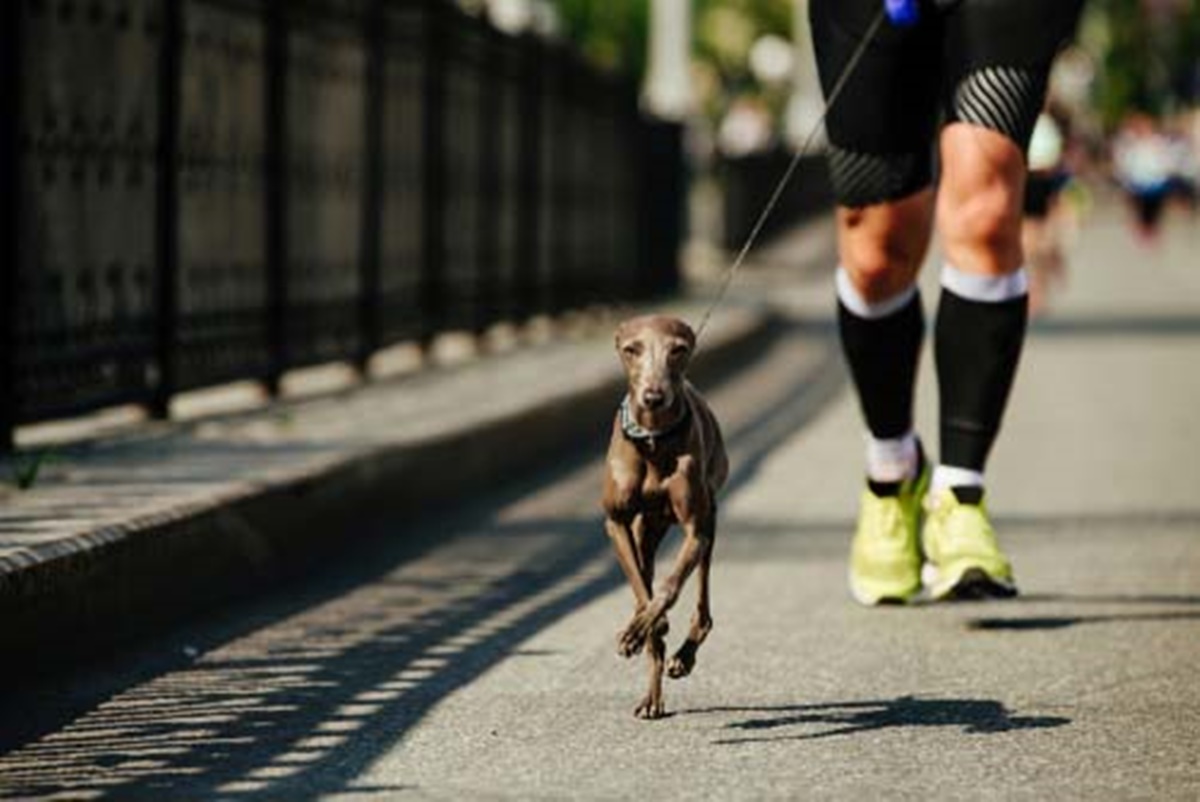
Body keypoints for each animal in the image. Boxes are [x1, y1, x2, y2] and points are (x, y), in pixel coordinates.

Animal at [604, 312, 724, 720]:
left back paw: (682, 658)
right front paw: (641, 630)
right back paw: (652, 694)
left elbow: (668, 589)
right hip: (646, 531)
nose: (653, 397)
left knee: (702, 608)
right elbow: (644, 591)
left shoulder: (695, 529)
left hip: (709, 521)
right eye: (631, 349)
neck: (653, 440)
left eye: (678, 349)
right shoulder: (617, 523)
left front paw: (644, 628)